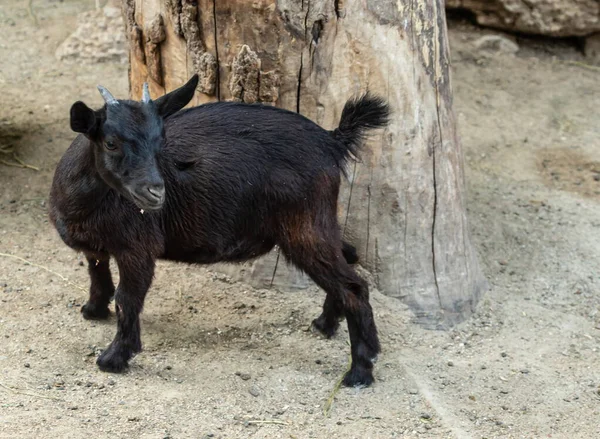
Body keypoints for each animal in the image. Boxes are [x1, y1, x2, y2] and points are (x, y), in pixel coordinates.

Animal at [49, 75, 392, 388]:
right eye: (111, 142)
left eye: (161, 141)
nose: (155, 193)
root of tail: (332, 141)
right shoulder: (96, 247)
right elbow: (97, 273)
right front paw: (93, 310)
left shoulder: (138, 249)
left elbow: (127, 298)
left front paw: (114, 358)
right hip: (316, 224)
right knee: (349, 256)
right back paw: (325, 324)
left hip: (304, 228)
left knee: (354, 287)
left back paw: (359, 371)